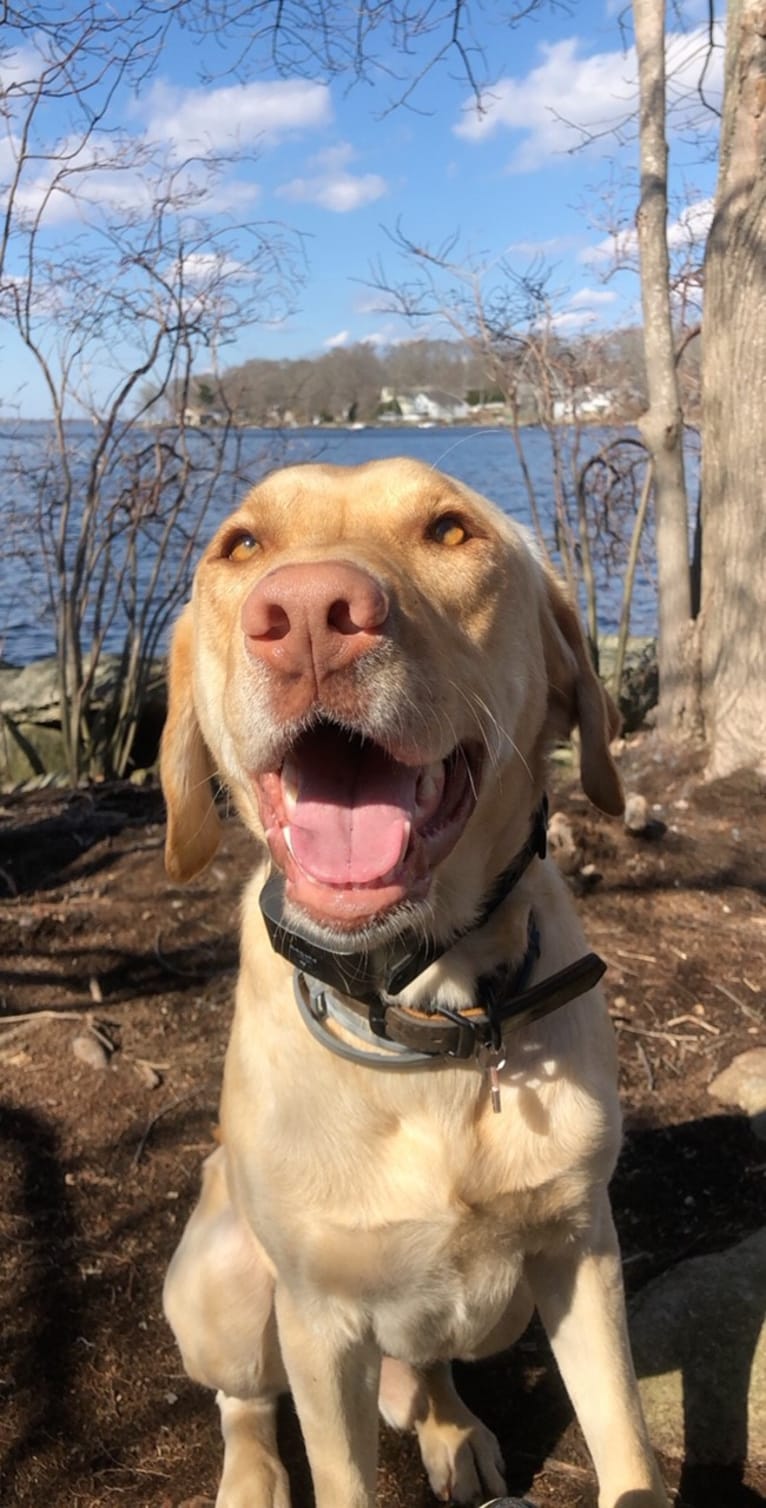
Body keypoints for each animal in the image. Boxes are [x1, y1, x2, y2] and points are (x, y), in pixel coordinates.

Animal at [158, 458, 666, 1508]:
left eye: (449, 530)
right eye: (241, 545)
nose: (310, 614)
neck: (426, 1011)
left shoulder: (583, 1249)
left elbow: (627, 1444)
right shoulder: (317, 1322)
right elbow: (339, 1472)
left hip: (501, 1308)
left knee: (426, 1359)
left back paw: (446, 1425)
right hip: (222, 1285)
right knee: (243, 1400)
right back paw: (253, 1475)